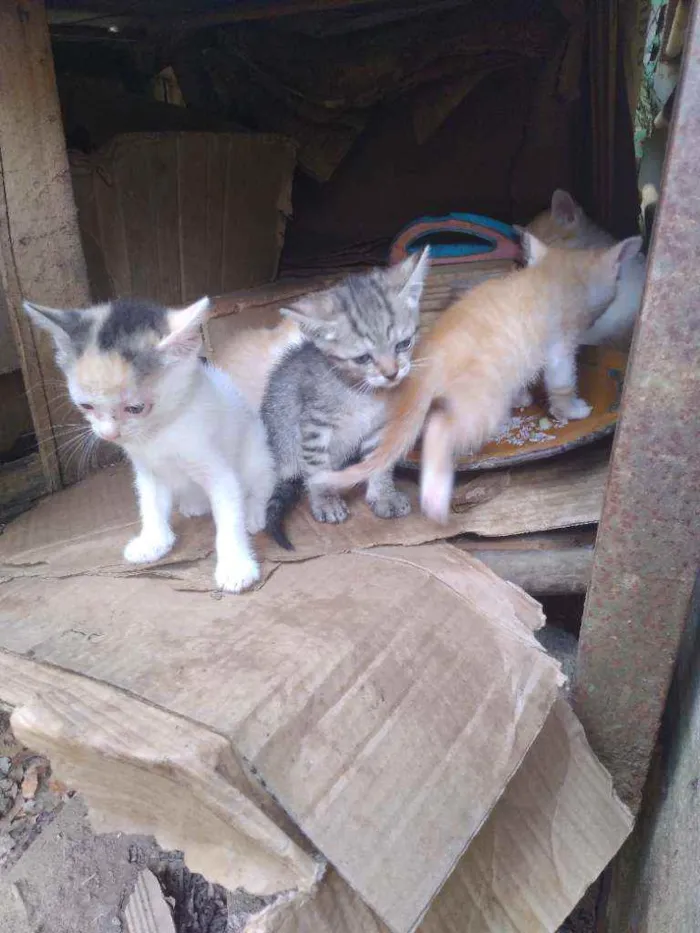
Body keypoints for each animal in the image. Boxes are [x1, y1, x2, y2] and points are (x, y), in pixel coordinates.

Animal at [22, 294, 274, 592]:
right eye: (86, 406)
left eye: (135, 408)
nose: (108, 434)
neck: (158, 432)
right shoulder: (148, 470)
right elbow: (150, 505)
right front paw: (153, 541)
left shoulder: (217, 470)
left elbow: (229, 515)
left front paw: (236, 566)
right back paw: (194, 504)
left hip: (257, 453)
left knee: (262, 485)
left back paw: (254, 514)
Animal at [262, 251, 430, 548]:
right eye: (362, 358)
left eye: (403, 344)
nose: (391, 373)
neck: (362, 394)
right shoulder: (314, 425)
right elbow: (317, 469)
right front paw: (325, 501)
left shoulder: (379, 426)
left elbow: (379, 460)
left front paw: (383, 495)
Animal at [314, 231, 644, 524]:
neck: (549, 276)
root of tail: (428, 360)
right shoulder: (559, 345)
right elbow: (561, 381)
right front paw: (571, 409)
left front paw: (523, 396)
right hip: (484, 402)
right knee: (440, 429)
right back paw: (434, 497)